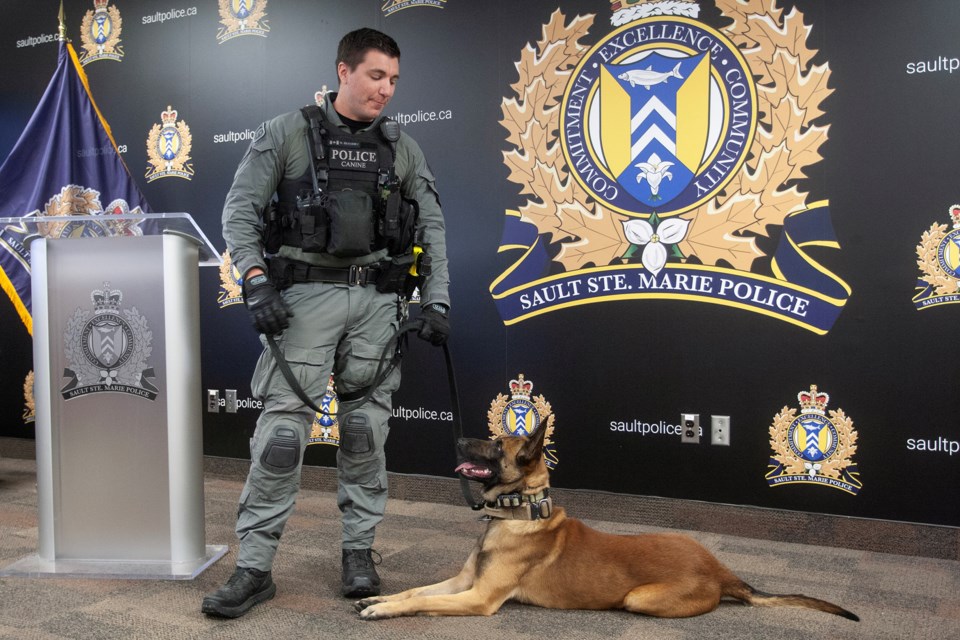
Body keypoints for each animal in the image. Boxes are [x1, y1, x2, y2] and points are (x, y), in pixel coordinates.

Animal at [356, 424, 860, 620]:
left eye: (496, 445)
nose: (458, 437)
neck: (520, 514)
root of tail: (721, 571)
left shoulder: (478, 598)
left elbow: (422, 601)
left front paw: (384, 611)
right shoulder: (463, 582)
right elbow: (415, 591)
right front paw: (378, 598)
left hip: (638, 598)